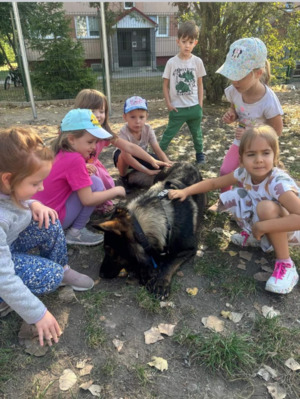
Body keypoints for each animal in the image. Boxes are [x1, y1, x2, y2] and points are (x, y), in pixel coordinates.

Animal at [94, 164, 206, 298]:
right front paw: (146, 274)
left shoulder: (190, 248)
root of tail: (185, 162)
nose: (101, 275)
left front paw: (161, 282)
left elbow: (170, 263)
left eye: (109, 250)